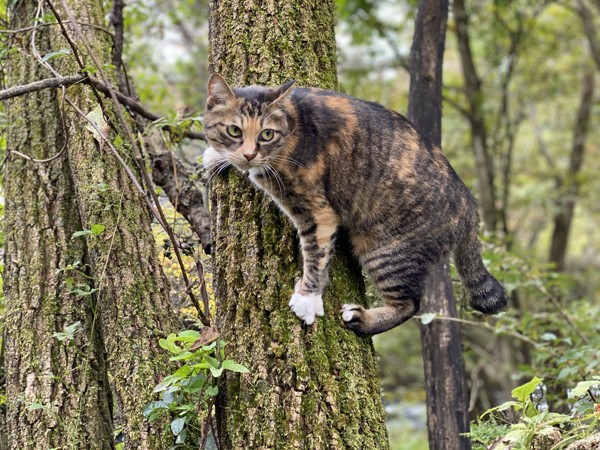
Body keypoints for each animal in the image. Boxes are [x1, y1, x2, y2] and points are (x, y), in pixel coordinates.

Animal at [203, 73, 506, 334]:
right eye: (234, 130)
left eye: (266, 134)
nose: (249, 154)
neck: (293, 124)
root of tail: (468, 204)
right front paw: (216, 156)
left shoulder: (318, 212)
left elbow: (316, 254)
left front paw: (308, 298)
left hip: (385, 250)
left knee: (410, 304)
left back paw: (363, 319)